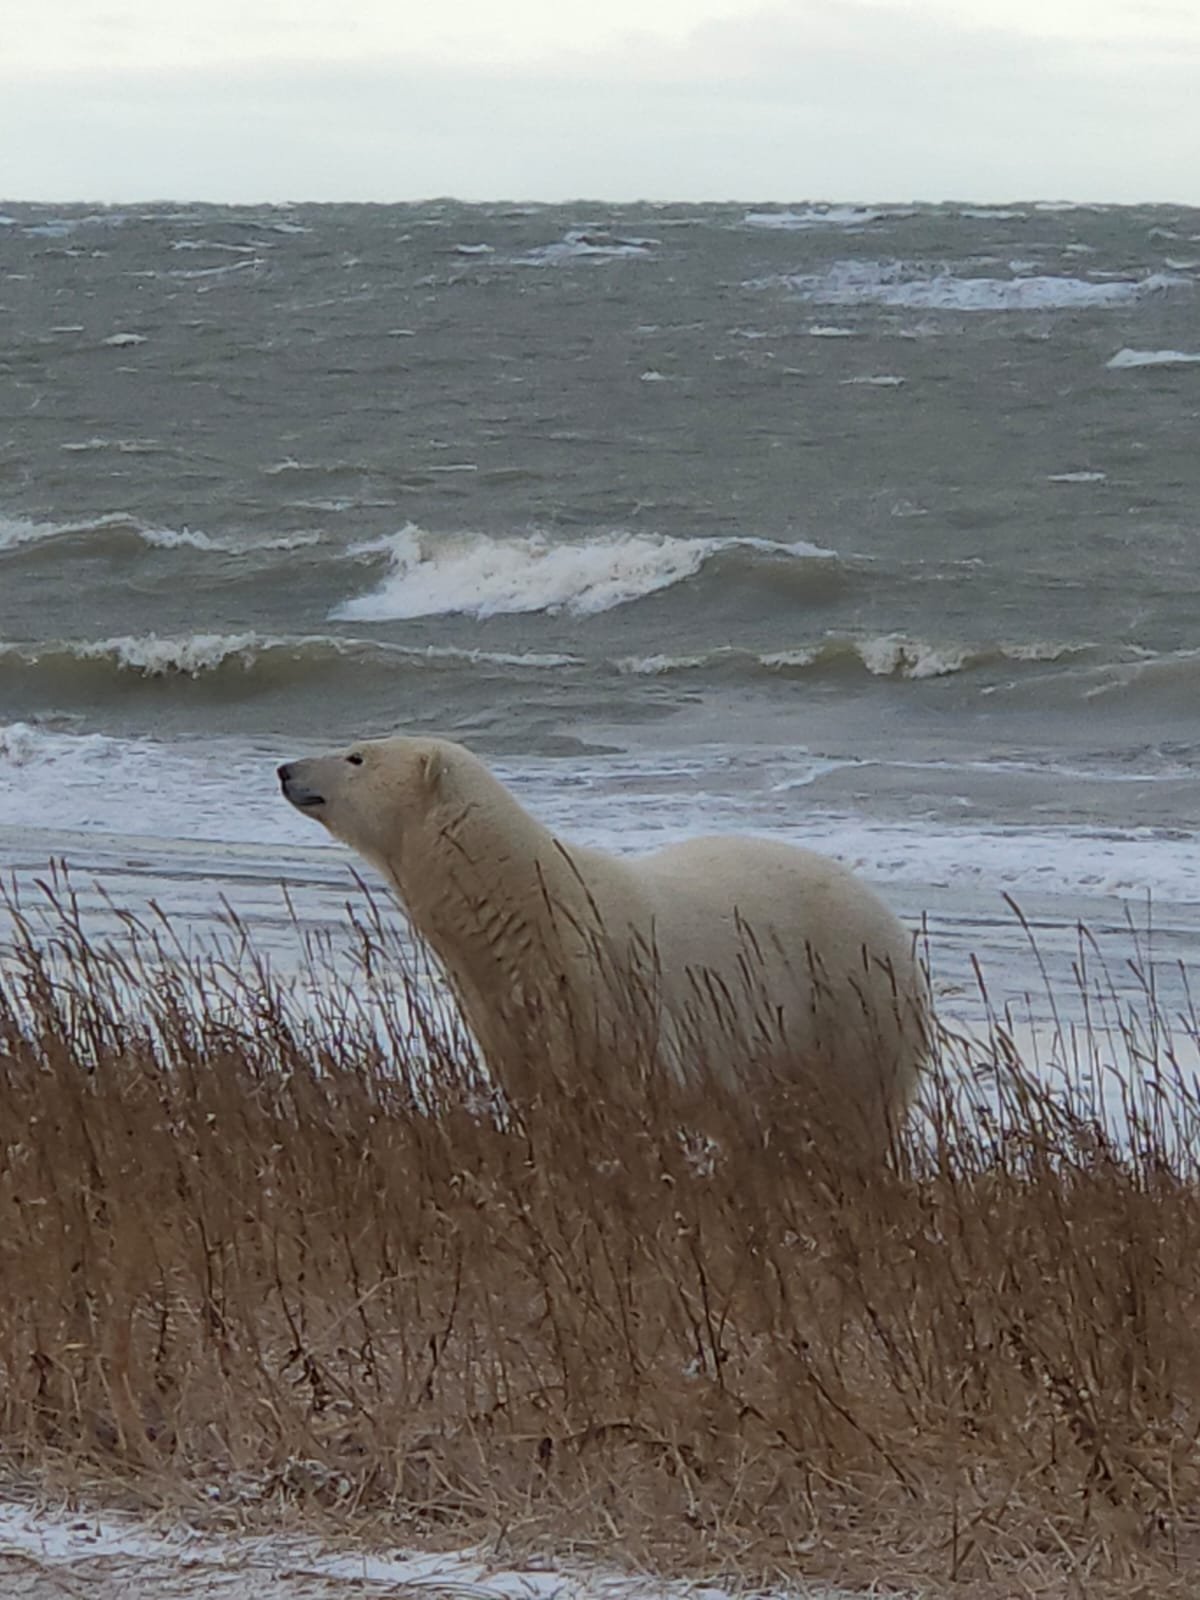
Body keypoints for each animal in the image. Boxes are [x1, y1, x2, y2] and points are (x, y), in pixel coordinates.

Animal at [278, 735, 929, 1147]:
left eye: (356, 754)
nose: (286, 769)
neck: (525, 903)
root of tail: (894, 927)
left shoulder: (605, 992)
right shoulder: (503, 1011)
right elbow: (540, 1098)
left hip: (849, 1009)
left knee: (856, 1118)